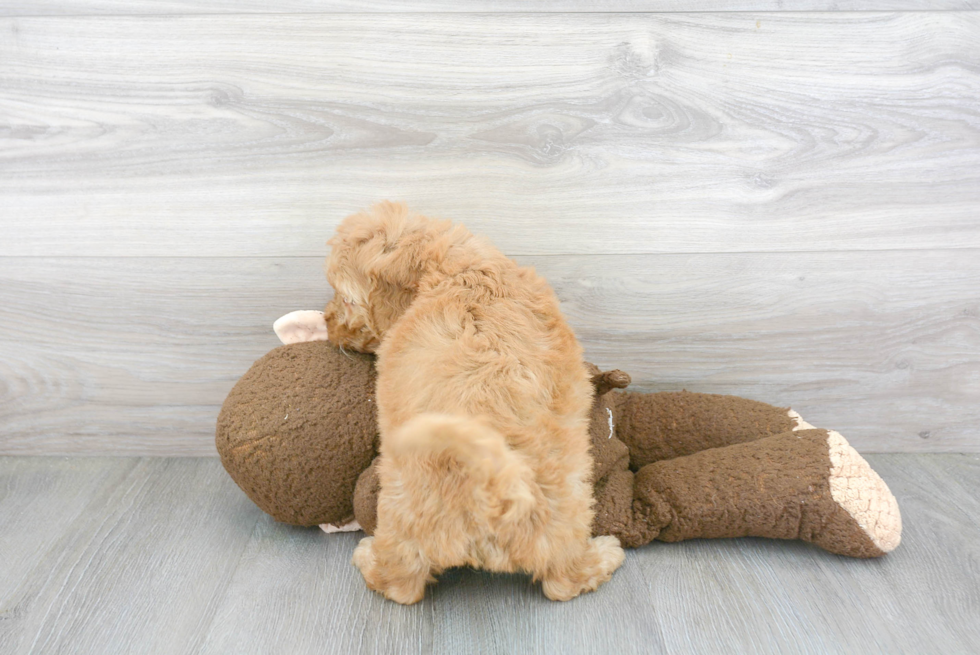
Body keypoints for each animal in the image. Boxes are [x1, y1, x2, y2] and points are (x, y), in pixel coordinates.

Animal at [326, 201, 624, 604]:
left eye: (346, 300)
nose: (326, 324)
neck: (456, 269)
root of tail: (490, 488)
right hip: (566, 505)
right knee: (562, 580)